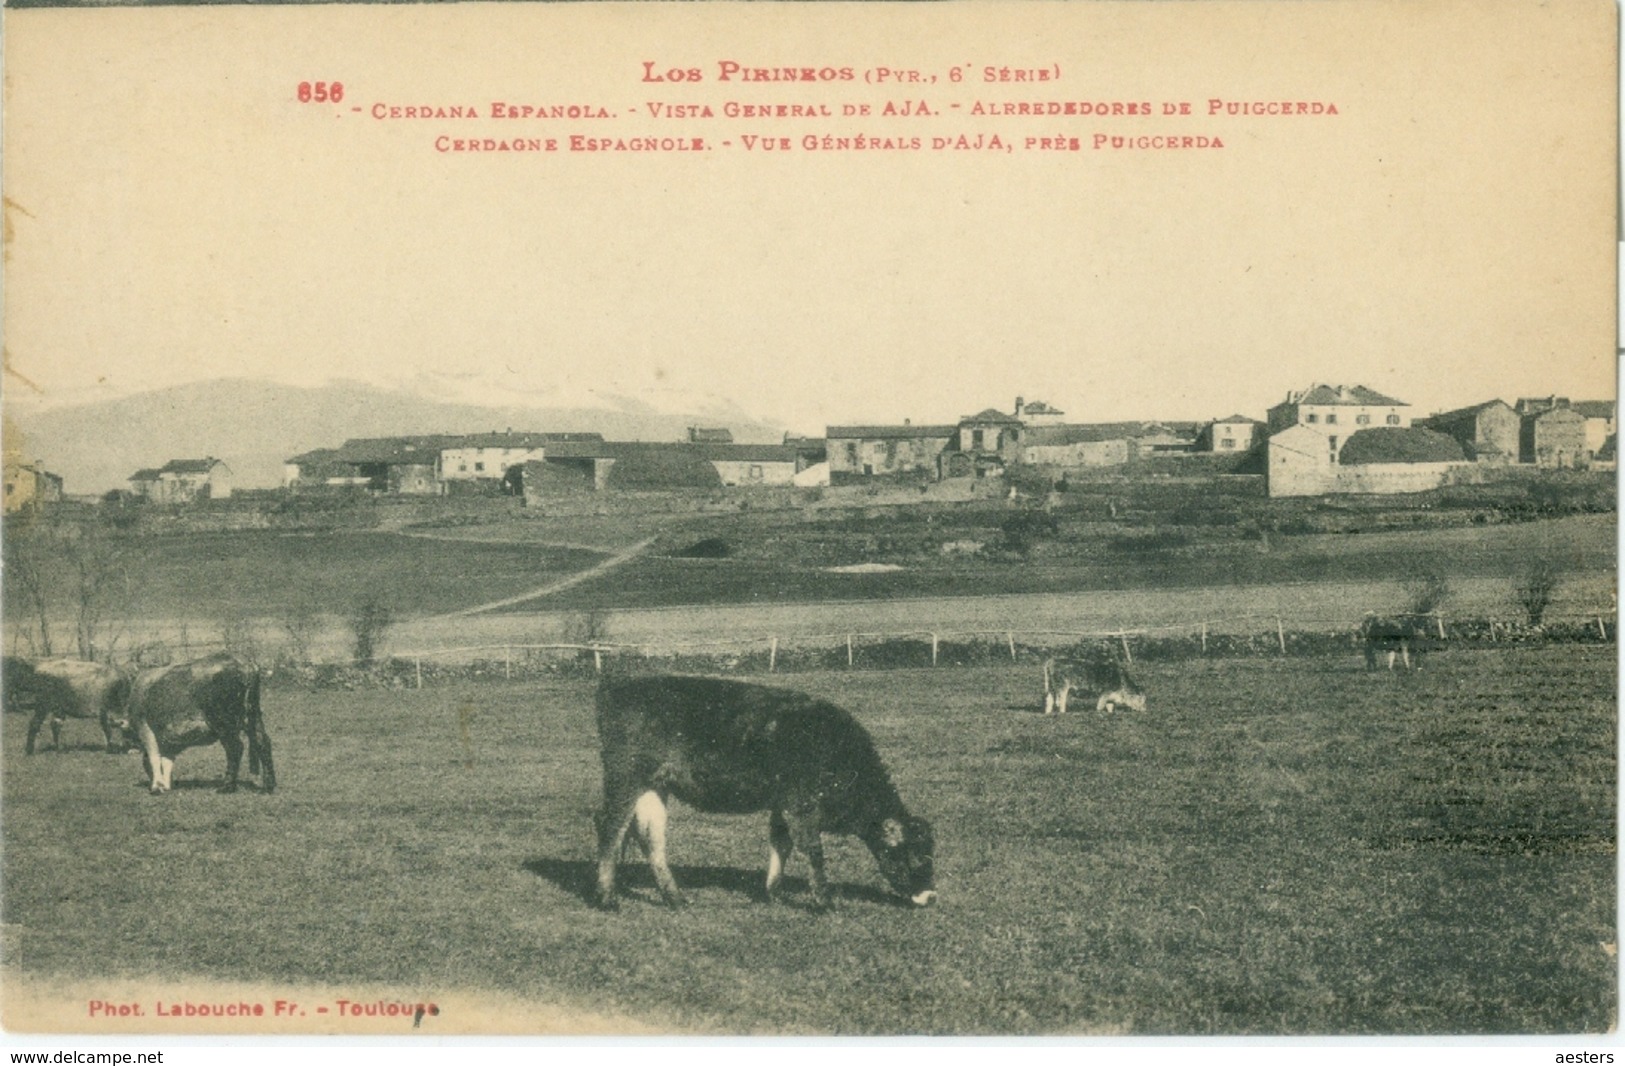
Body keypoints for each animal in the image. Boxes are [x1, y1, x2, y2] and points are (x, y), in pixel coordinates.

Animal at [3, 653, 132, 754]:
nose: (129, 748)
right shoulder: (104, 710)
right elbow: (108, 729)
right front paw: (111, 749)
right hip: (43, 704)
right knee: (35, 723)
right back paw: (29, 751)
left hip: (58, 708)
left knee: (55, 725)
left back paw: (58, 749)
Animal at [123, 653, 274, 796]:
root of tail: (243, 661)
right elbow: (167, 761)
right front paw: (165, 785)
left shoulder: (143, 726)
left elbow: (154, 757)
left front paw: (157, 787)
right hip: (252, 715)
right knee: (263, 742)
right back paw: (268, 787)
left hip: (223, 722)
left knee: (235, 747)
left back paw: (227, 786)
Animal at [598, 679, 936, 910]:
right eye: (919, 858)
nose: (931, 896)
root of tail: (620, 686)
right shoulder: (802, 805)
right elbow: (813, 851)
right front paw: (824, 901)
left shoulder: (782, 804)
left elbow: (781, 845)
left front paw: (773, 892)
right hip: (625, 778)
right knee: (610, 830)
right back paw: (607, 898)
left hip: (654, 786)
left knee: (650, 837)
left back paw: (676, 898)